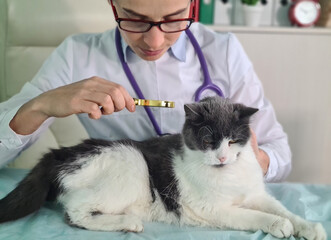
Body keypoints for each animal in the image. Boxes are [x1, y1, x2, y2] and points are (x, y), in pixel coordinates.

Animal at [0, 96, 328, 239]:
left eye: (234, 140)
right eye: (208, 140)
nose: (222, 158)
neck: (228, 174)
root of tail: (59, 154)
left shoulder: (256, 194)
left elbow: (281, 209)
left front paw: (308, 226)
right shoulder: (214, 209)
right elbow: (255, 216)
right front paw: (278, 226)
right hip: (130, 163)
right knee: (75, 211)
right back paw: (128, 223)